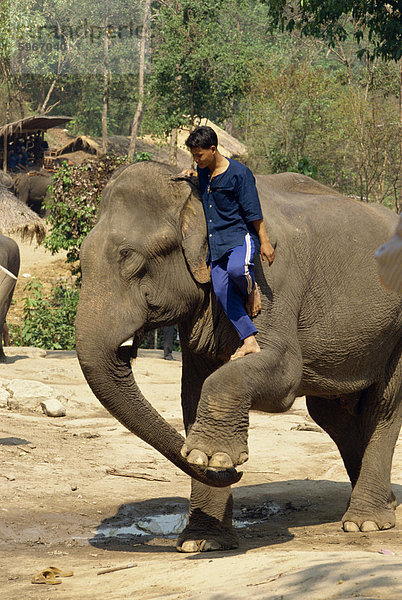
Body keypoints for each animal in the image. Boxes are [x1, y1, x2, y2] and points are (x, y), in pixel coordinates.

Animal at [74, 161, 398, 552]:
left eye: (129, 259)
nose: (237, 472)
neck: (196, 196)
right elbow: (193, 392)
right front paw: (203, 540)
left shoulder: (268, 277)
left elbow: (283, 374)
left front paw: (213, 457)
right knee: (332, 414)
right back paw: (384, 503)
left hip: (396, 331)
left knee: (384, 406)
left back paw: (366, 522)